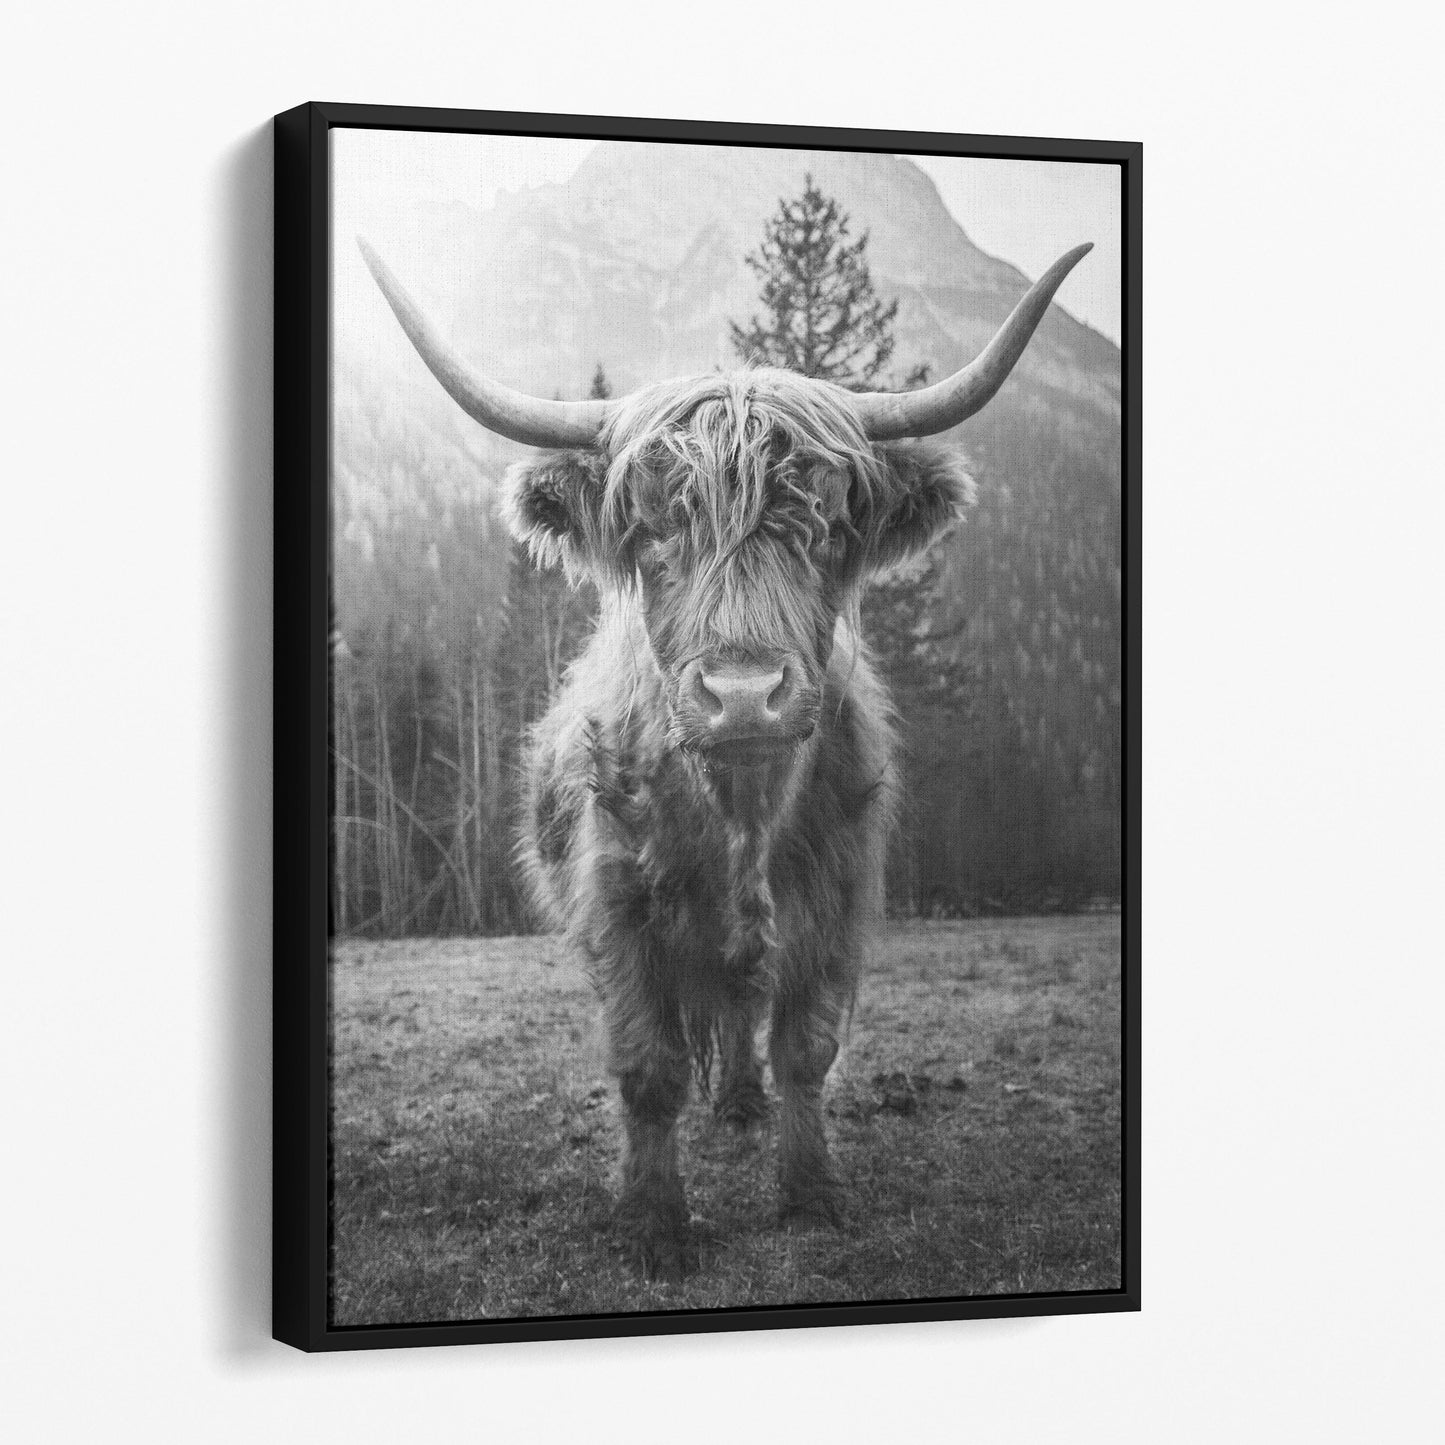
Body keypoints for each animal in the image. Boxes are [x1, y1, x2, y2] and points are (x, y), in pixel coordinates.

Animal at [360, 236, 1090, 1280]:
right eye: (652, 531)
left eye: (827, 527)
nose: (743, 693)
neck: (739, 810)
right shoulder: (616, 909)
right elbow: (649, 1068)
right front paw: (656, 1223)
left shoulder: (836, 900)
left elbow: (805, 1049)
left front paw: (810, 1194)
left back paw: (743, 1103)